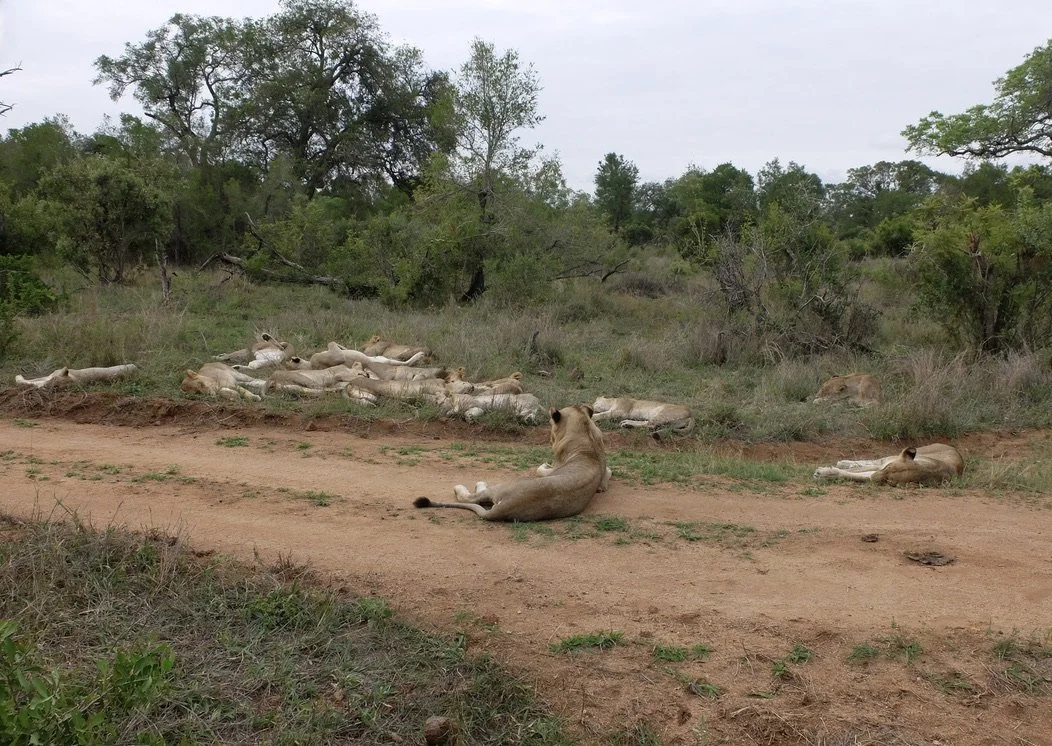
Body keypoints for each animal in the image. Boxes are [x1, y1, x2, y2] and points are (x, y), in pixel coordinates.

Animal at [413, 404, 610, 521]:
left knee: (470, 496)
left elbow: (541, 469)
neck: (586, 434)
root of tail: (506, 507)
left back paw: (470, 485)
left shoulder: (557, 464)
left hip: (501, 487)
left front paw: (543, 465)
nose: (549, 439)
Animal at [813, 443, 963, 486]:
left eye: (889, 481)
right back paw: (844, 462)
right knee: (872, 461)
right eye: (887, 468)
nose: (874, 478)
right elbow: (858, 470)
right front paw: (824, 471)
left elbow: (855, 475)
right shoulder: (882, 466)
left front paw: (823, 474)